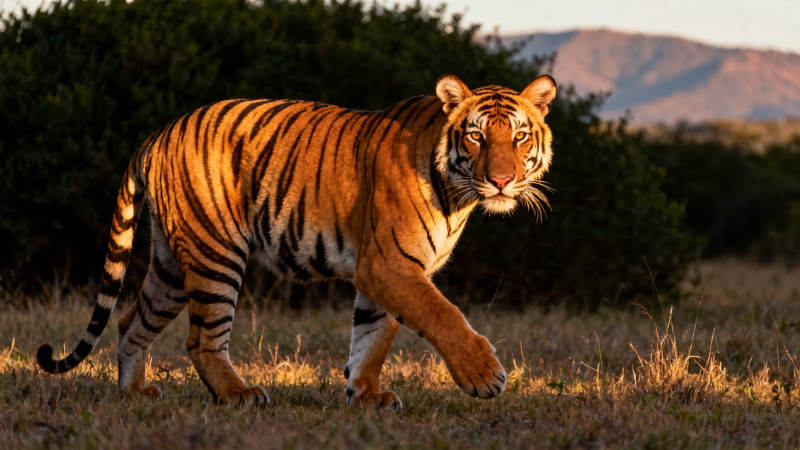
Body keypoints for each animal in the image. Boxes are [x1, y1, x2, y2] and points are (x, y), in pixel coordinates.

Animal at [37, 74, 556, 409]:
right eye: (476, 137)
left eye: (519, 136)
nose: (502, 181)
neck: (457, 197)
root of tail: (159, 133)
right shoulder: (390, 265)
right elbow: (441, 315)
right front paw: (484, 375)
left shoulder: (389, 270)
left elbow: (373, 334)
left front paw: (366, 395)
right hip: (215, 253)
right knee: (201, 338)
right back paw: (239, 395)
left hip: (169, 263)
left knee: (130, 321)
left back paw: (134, 394)